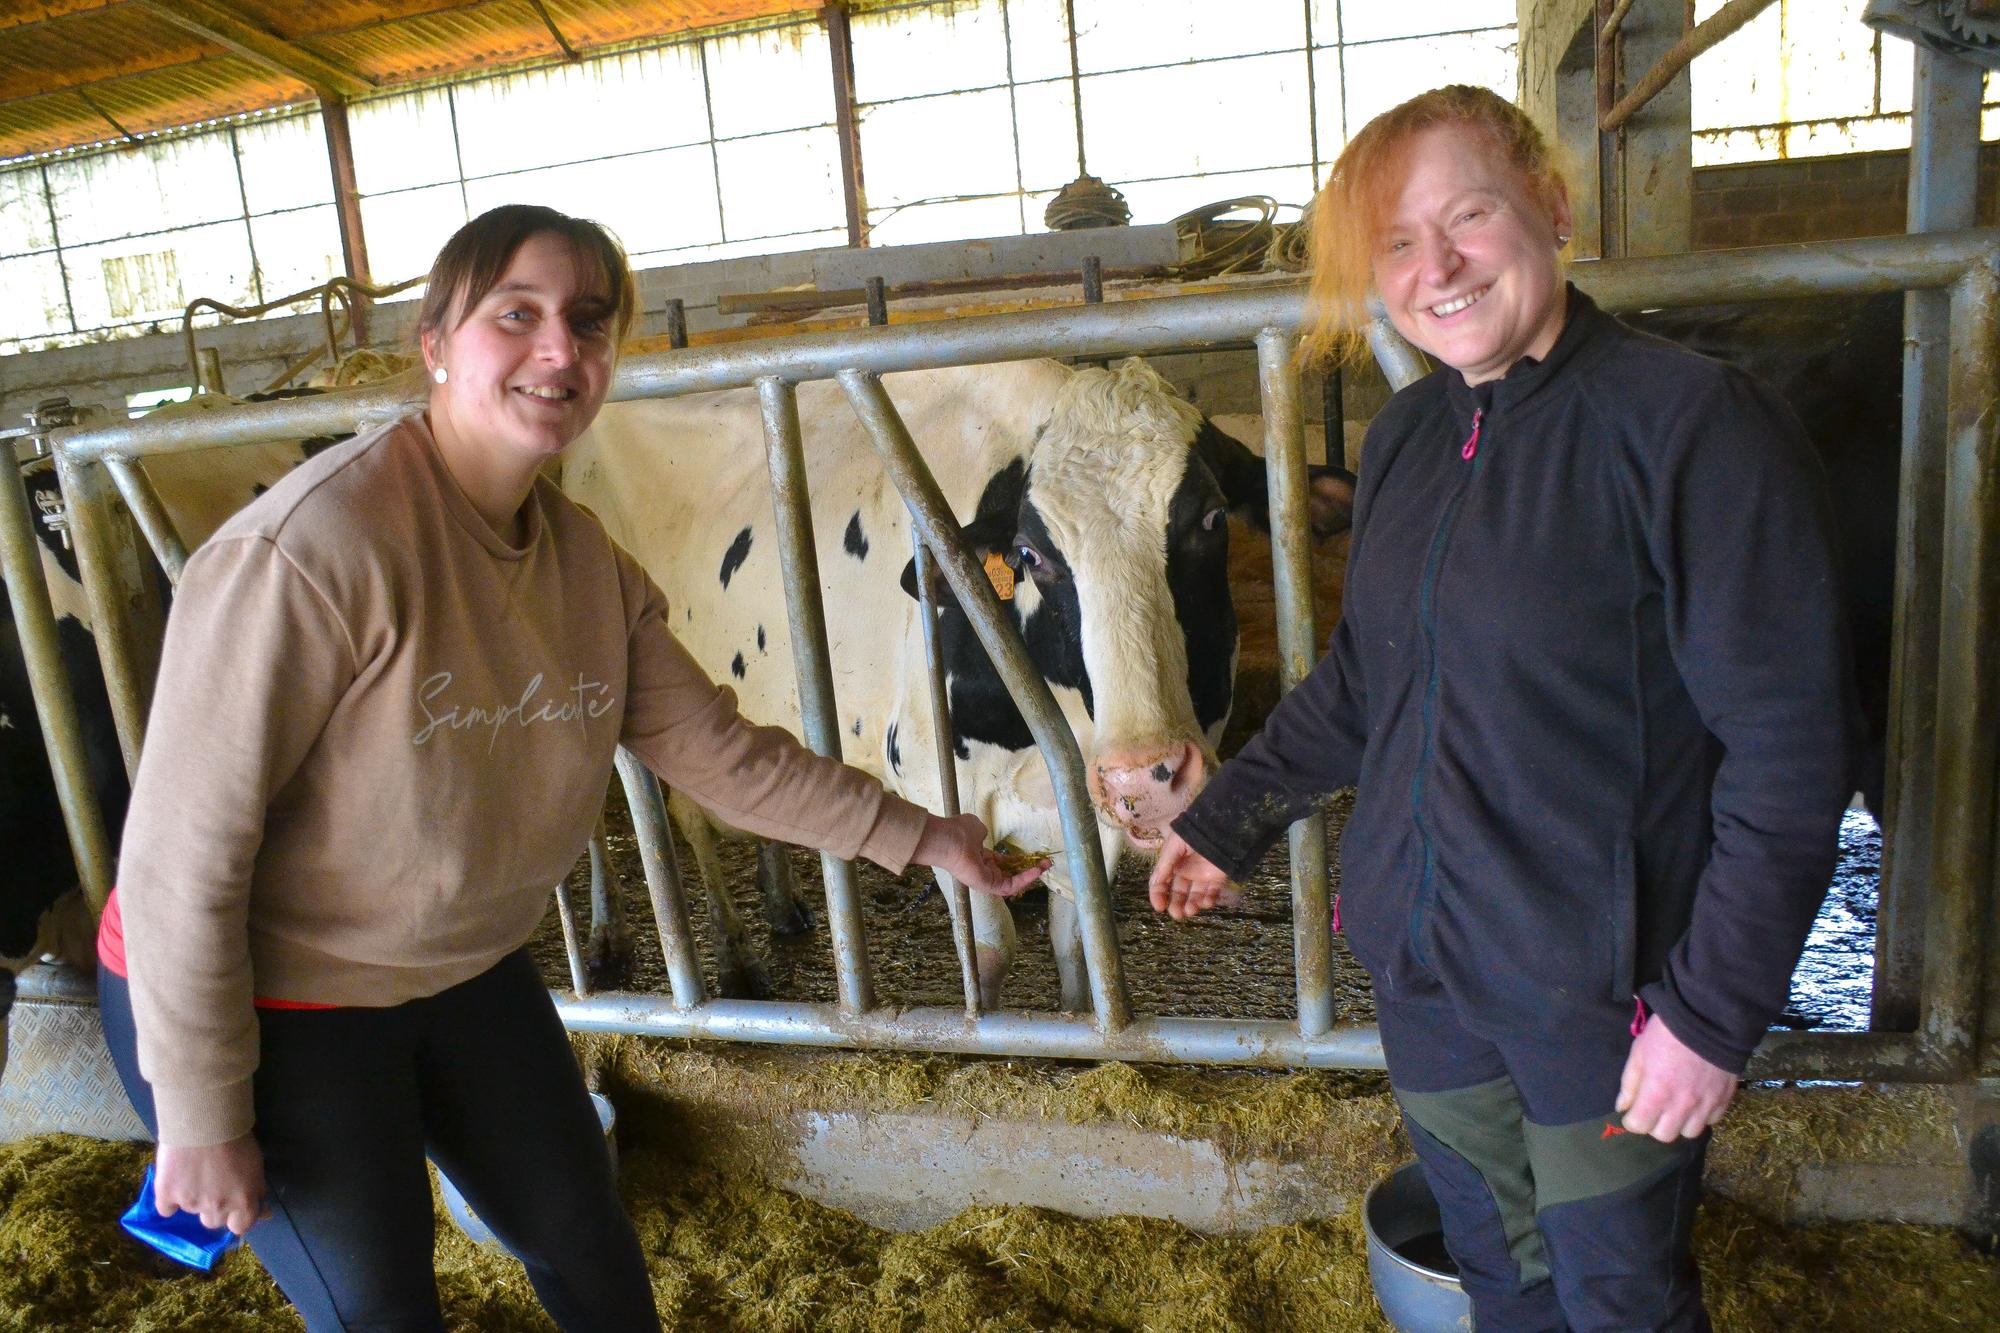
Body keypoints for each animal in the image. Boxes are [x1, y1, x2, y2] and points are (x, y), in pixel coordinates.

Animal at [560, 358, 1360, 1000]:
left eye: (1213, 518)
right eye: (1031, 554)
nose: (1142, 777)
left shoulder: (1073, 814)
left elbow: (1082, 946)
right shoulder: (930, 785)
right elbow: (991, 947)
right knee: (630, 818)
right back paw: (649, 946)